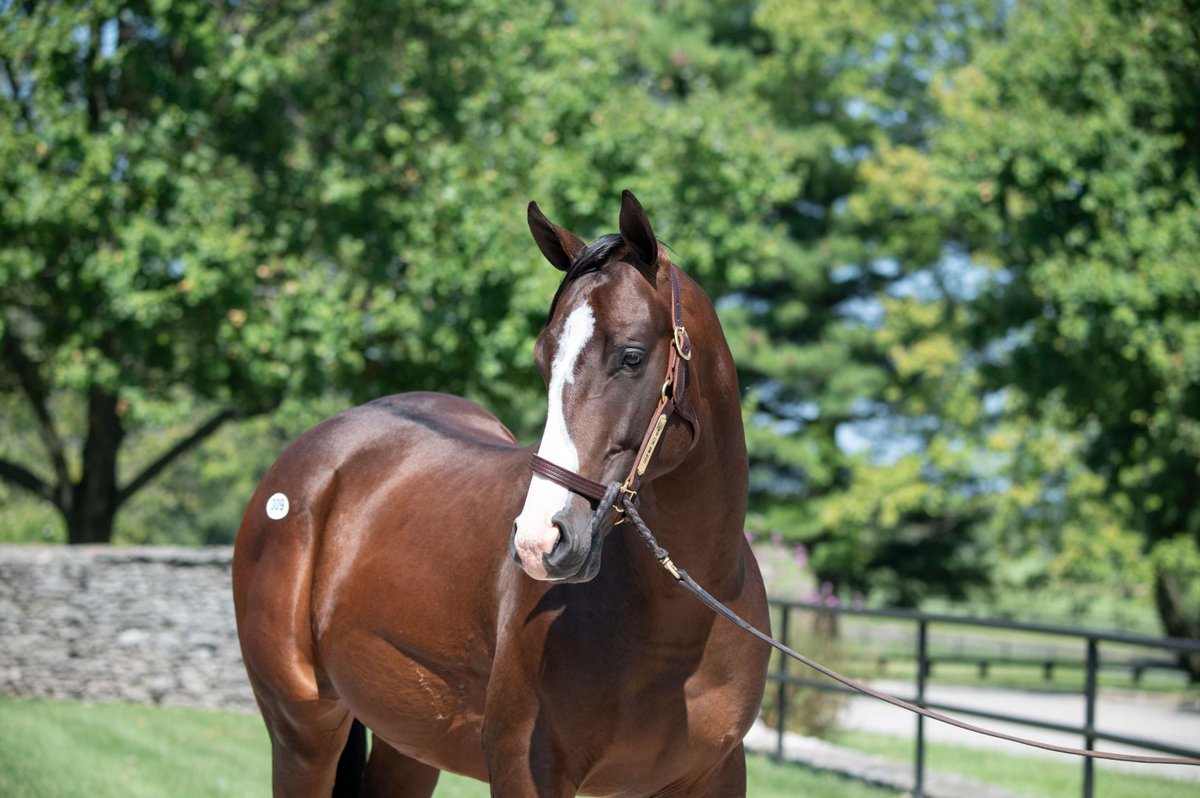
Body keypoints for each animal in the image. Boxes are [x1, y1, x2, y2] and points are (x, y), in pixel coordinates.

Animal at [232, 191, 771, 797]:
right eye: (542, 360)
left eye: (631, 356)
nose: (540, 541)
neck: (683, 622)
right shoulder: (523, 767)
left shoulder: (717, 775)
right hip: (302, 730)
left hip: (410, 743)